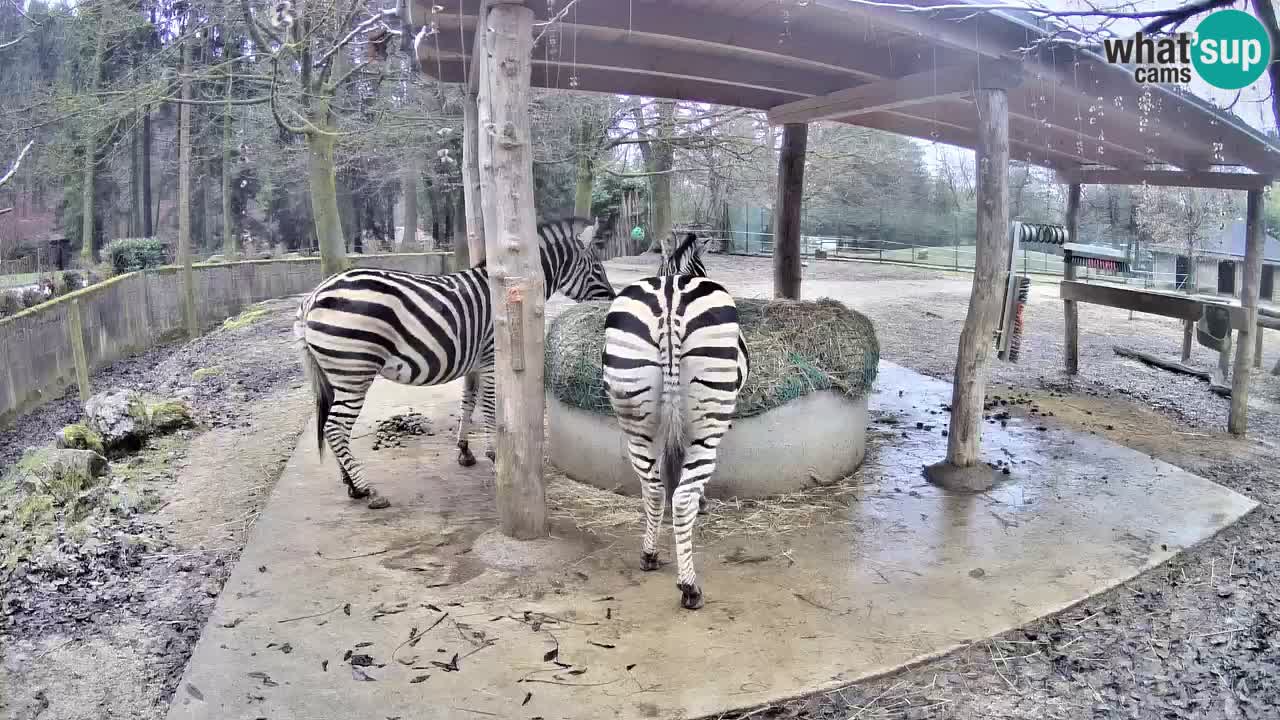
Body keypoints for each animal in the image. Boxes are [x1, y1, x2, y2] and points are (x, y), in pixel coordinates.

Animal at [300, 215, 619, 507]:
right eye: (596, 267)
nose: (612, 299)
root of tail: (313, 296)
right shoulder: (491, 356)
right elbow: (489, 406)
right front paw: (494, 453)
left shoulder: (473, 362)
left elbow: (468, 401)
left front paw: (465, 450)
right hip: (354, 371)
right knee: (335, 427)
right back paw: (366, 489)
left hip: (336, 374)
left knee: (333, 426)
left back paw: (350, 483)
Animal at [601, 228, 747, 604]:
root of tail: (669, 299)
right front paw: (704, 503)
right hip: (707, 421)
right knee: (682, 497)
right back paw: (689, 586)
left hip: (634, 414)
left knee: (652, 487)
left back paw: (649, 554)